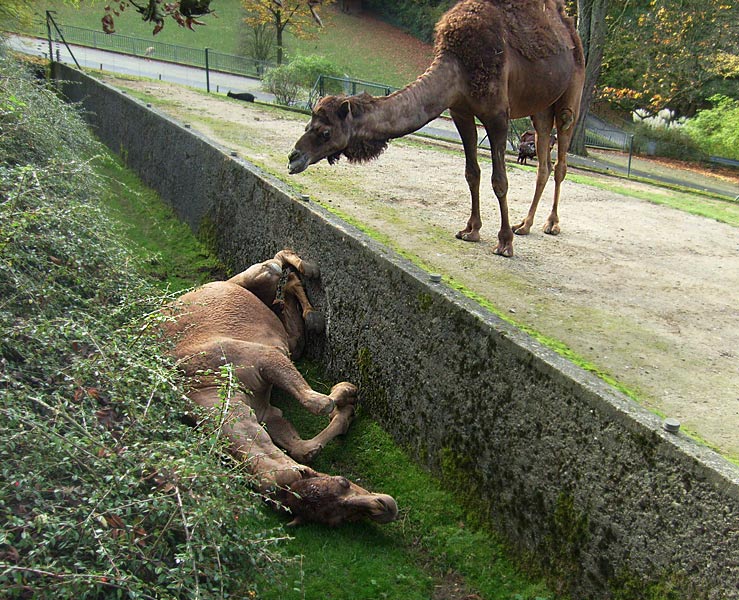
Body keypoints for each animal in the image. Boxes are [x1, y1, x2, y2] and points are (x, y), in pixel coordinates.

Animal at [163, 250, 398, 524]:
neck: (206, 385)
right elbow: (303, 449)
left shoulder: (266, 358)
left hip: (261, 275)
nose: (386, 508)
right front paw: (346, 412)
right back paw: (307, 311)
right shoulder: (266, 413)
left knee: (277, 262)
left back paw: (309, 279)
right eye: (337, 517)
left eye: (344, 482)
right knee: (289, 314)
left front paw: (346, 392)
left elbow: (318, 403)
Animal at [288, 0, 584, 255]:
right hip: (541, 108)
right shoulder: (460, 111)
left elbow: (499, 180)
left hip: (571, 94)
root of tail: (569, 29)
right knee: (543, 164)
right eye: (308, 123)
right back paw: (524, 225)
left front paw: (504, 243)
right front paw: (471, 230)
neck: (460, 65)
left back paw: (551, 224)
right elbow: (472, 173)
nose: (293, 158)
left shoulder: (497, 115)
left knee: (561, 158)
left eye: (325, 132)